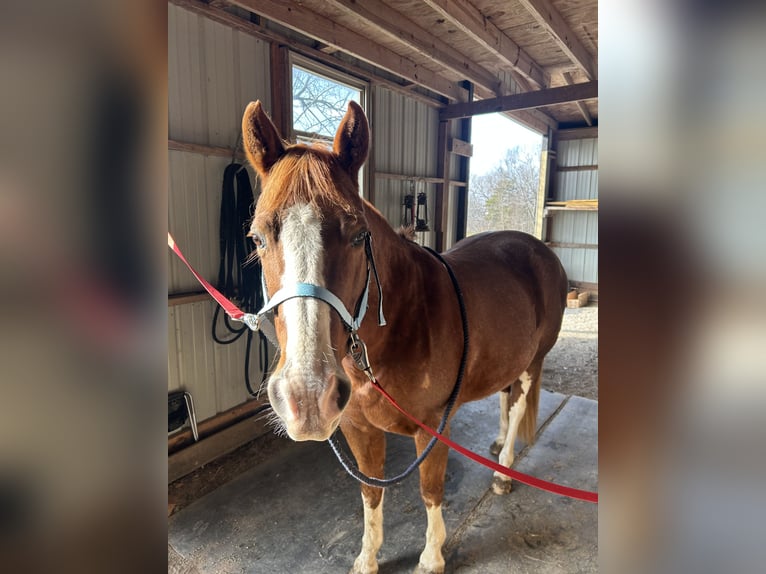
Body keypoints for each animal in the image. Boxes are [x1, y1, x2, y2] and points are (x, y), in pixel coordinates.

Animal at [241, 100, 567, 574]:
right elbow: (371, 492)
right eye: (258, 237)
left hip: (534, 362)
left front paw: (431, 556)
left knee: (521, 398)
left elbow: (430, 491)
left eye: (359, 235)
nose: (307, 397)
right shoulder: (356, 428)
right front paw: (367, 557)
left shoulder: (432, 427)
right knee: (506, 397)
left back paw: (504, 470)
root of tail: (539, 250)